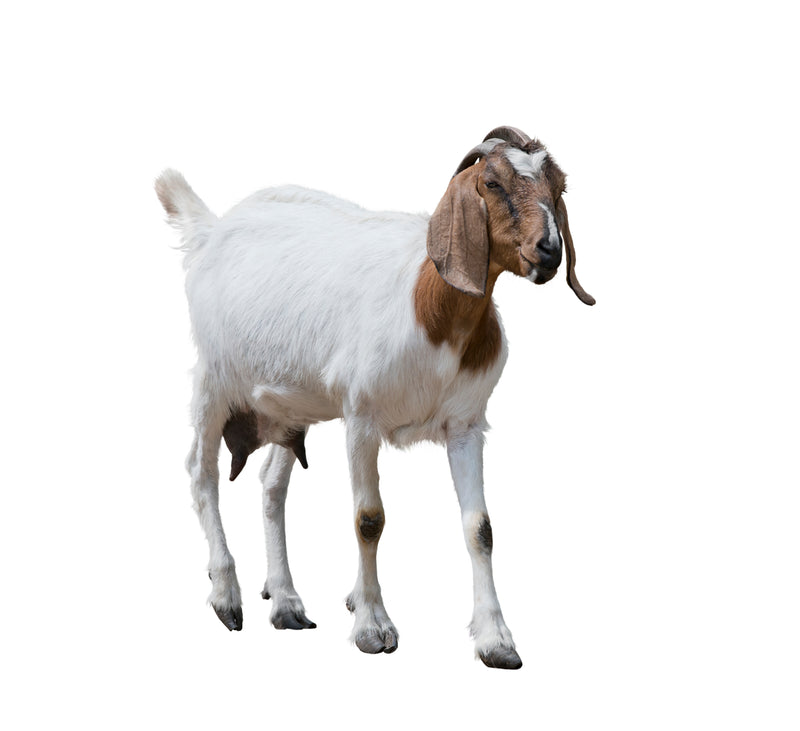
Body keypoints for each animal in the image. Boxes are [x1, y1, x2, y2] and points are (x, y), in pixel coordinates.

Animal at [156, 126, 594, 670]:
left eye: (560, 186)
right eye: (491, 182)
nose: (549, 251)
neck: (432, 313)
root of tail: (212, 230)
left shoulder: (466, 424)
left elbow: (480, 527)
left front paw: (496, 640)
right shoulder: (361, 417)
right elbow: (369, 520)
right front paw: (372, 626)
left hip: (289, 406)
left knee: (271, 486)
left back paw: (286, 602)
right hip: (213, 379)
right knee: (202, 472)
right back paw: (226, 596)